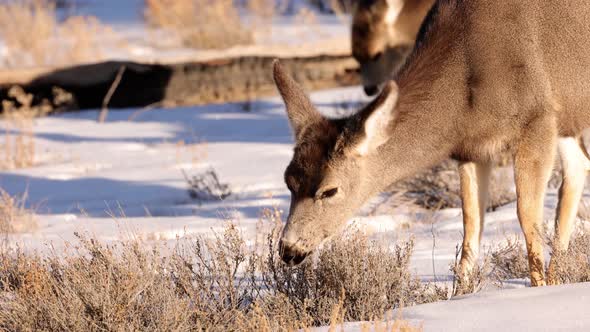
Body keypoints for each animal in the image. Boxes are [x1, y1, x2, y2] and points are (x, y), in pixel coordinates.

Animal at [278, 0, 590, 288]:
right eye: (289, 182)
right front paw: (460, 292)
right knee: (578, 167)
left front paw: (538, 288)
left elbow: (526, 215)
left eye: (329, 190)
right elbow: (471, 222)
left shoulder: (538, 117)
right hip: (569, 119)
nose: (288, 250)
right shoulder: (471, 148)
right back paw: (559, 272)